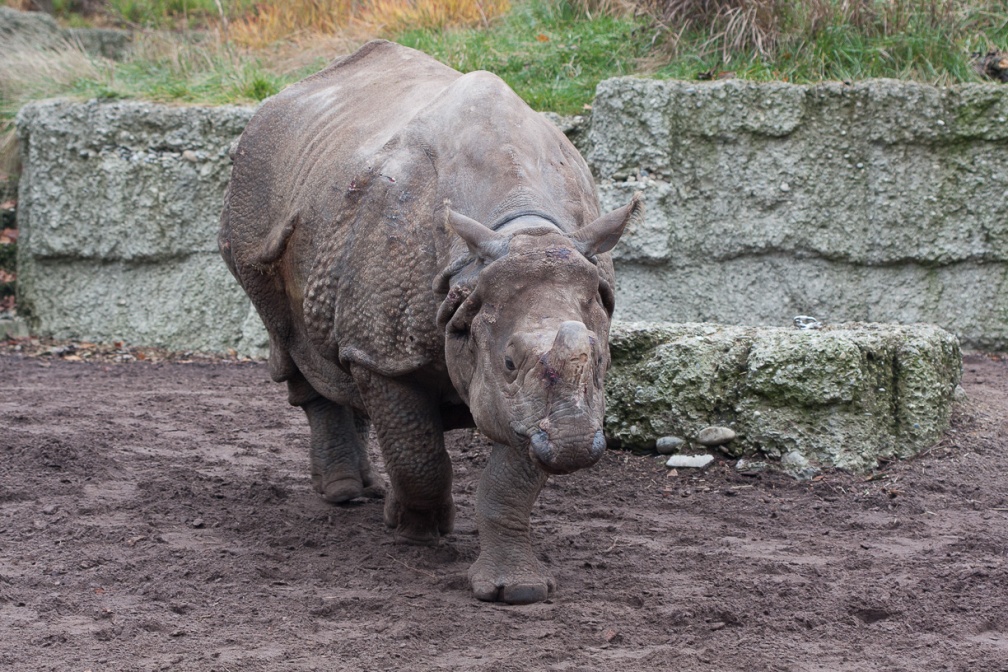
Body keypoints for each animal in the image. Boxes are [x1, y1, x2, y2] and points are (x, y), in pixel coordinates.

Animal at [219, 40, 642, 604]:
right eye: (510, 361)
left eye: (600, 359)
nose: (576, 443)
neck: (520, 231)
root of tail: (281, 98)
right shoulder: (391, 356)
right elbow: (418, 452)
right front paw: (416, 530)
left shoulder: (533, 404)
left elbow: (509, 479)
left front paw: (516, 591)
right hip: (253, 191)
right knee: (293, 343)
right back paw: (345, 495)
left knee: (339, 353)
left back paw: (368, 492)